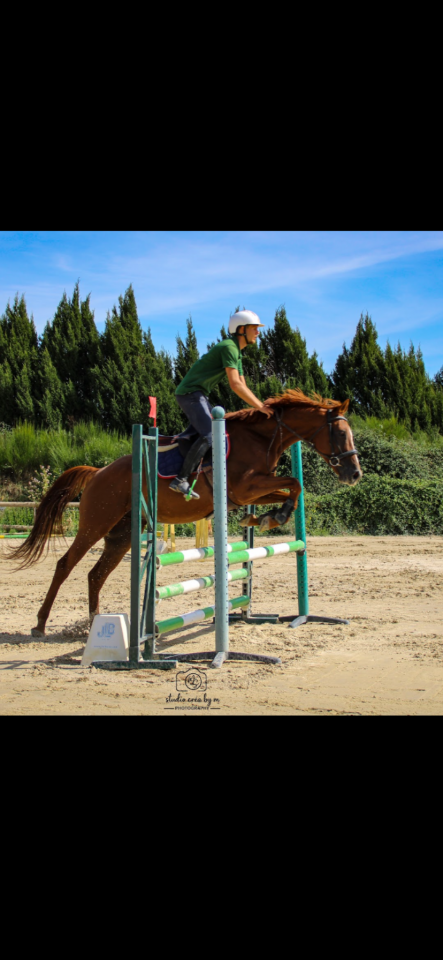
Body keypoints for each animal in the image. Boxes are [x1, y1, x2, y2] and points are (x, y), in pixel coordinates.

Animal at [11, 390, 361, 637]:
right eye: (340, 434)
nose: (355, 474)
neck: (261, 437)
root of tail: (99, 472)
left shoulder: (254, 490)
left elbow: (293, 487)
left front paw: (263, 517)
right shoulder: (246, 487)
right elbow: (294, 483)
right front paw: (273, 517)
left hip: (122, 534)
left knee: (96, 574)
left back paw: (94, 624)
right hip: (96, 522)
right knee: (65, 564)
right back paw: (40, 624)